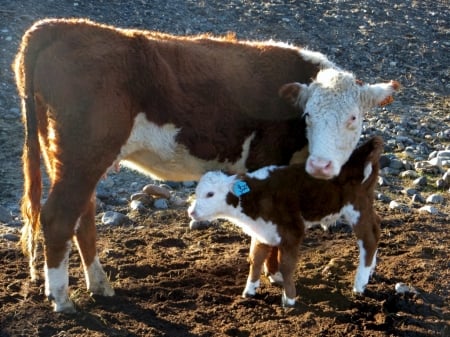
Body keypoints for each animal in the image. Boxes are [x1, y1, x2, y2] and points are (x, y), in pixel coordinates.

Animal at [189, 135, 384, 306]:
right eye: (198, 192)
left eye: (210, 194)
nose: (191, 212)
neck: (258, 196)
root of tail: (360, 153)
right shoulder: (263, 231)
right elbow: (255, 259)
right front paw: (249, 291)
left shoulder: (292, 232)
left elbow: (286, 266)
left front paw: (289, 299)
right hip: (367, 203)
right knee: (377, 227)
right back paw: (371, 271)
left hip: (357, 207)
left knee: (368, 239)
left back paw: (360, 284)